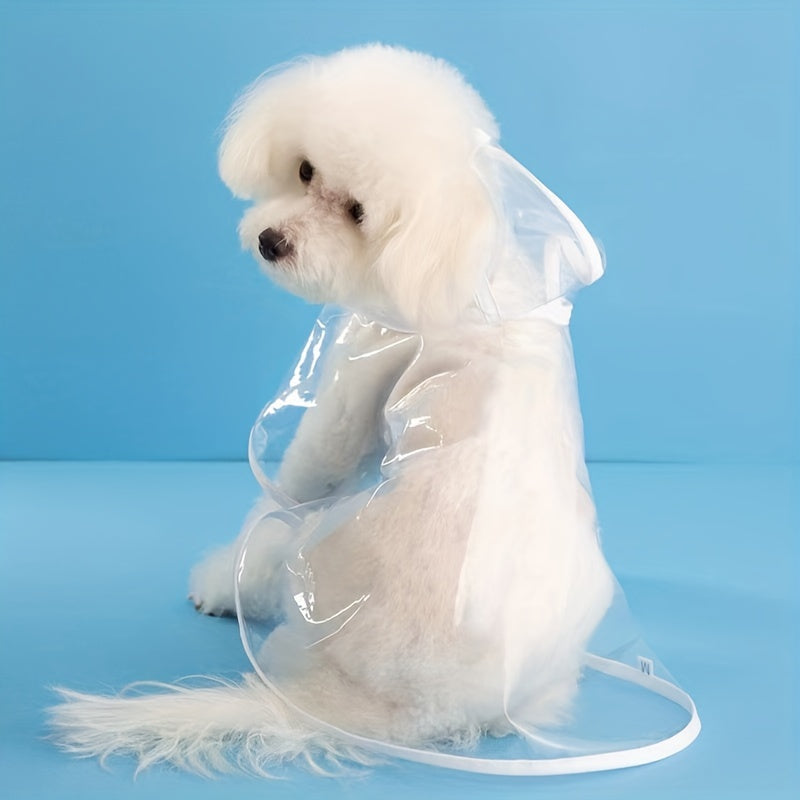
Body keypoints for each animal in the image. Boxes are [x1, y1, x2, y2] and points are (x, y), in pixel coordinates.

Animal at [48, 42, 612, 776]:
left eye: (358, 212)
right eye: (305, 169)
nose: (271, 242)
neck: (456, 267)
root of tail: (413, 715)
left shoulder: (351, 390)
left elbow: (284, 493)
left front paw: (219, 583)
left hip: (316, 553)